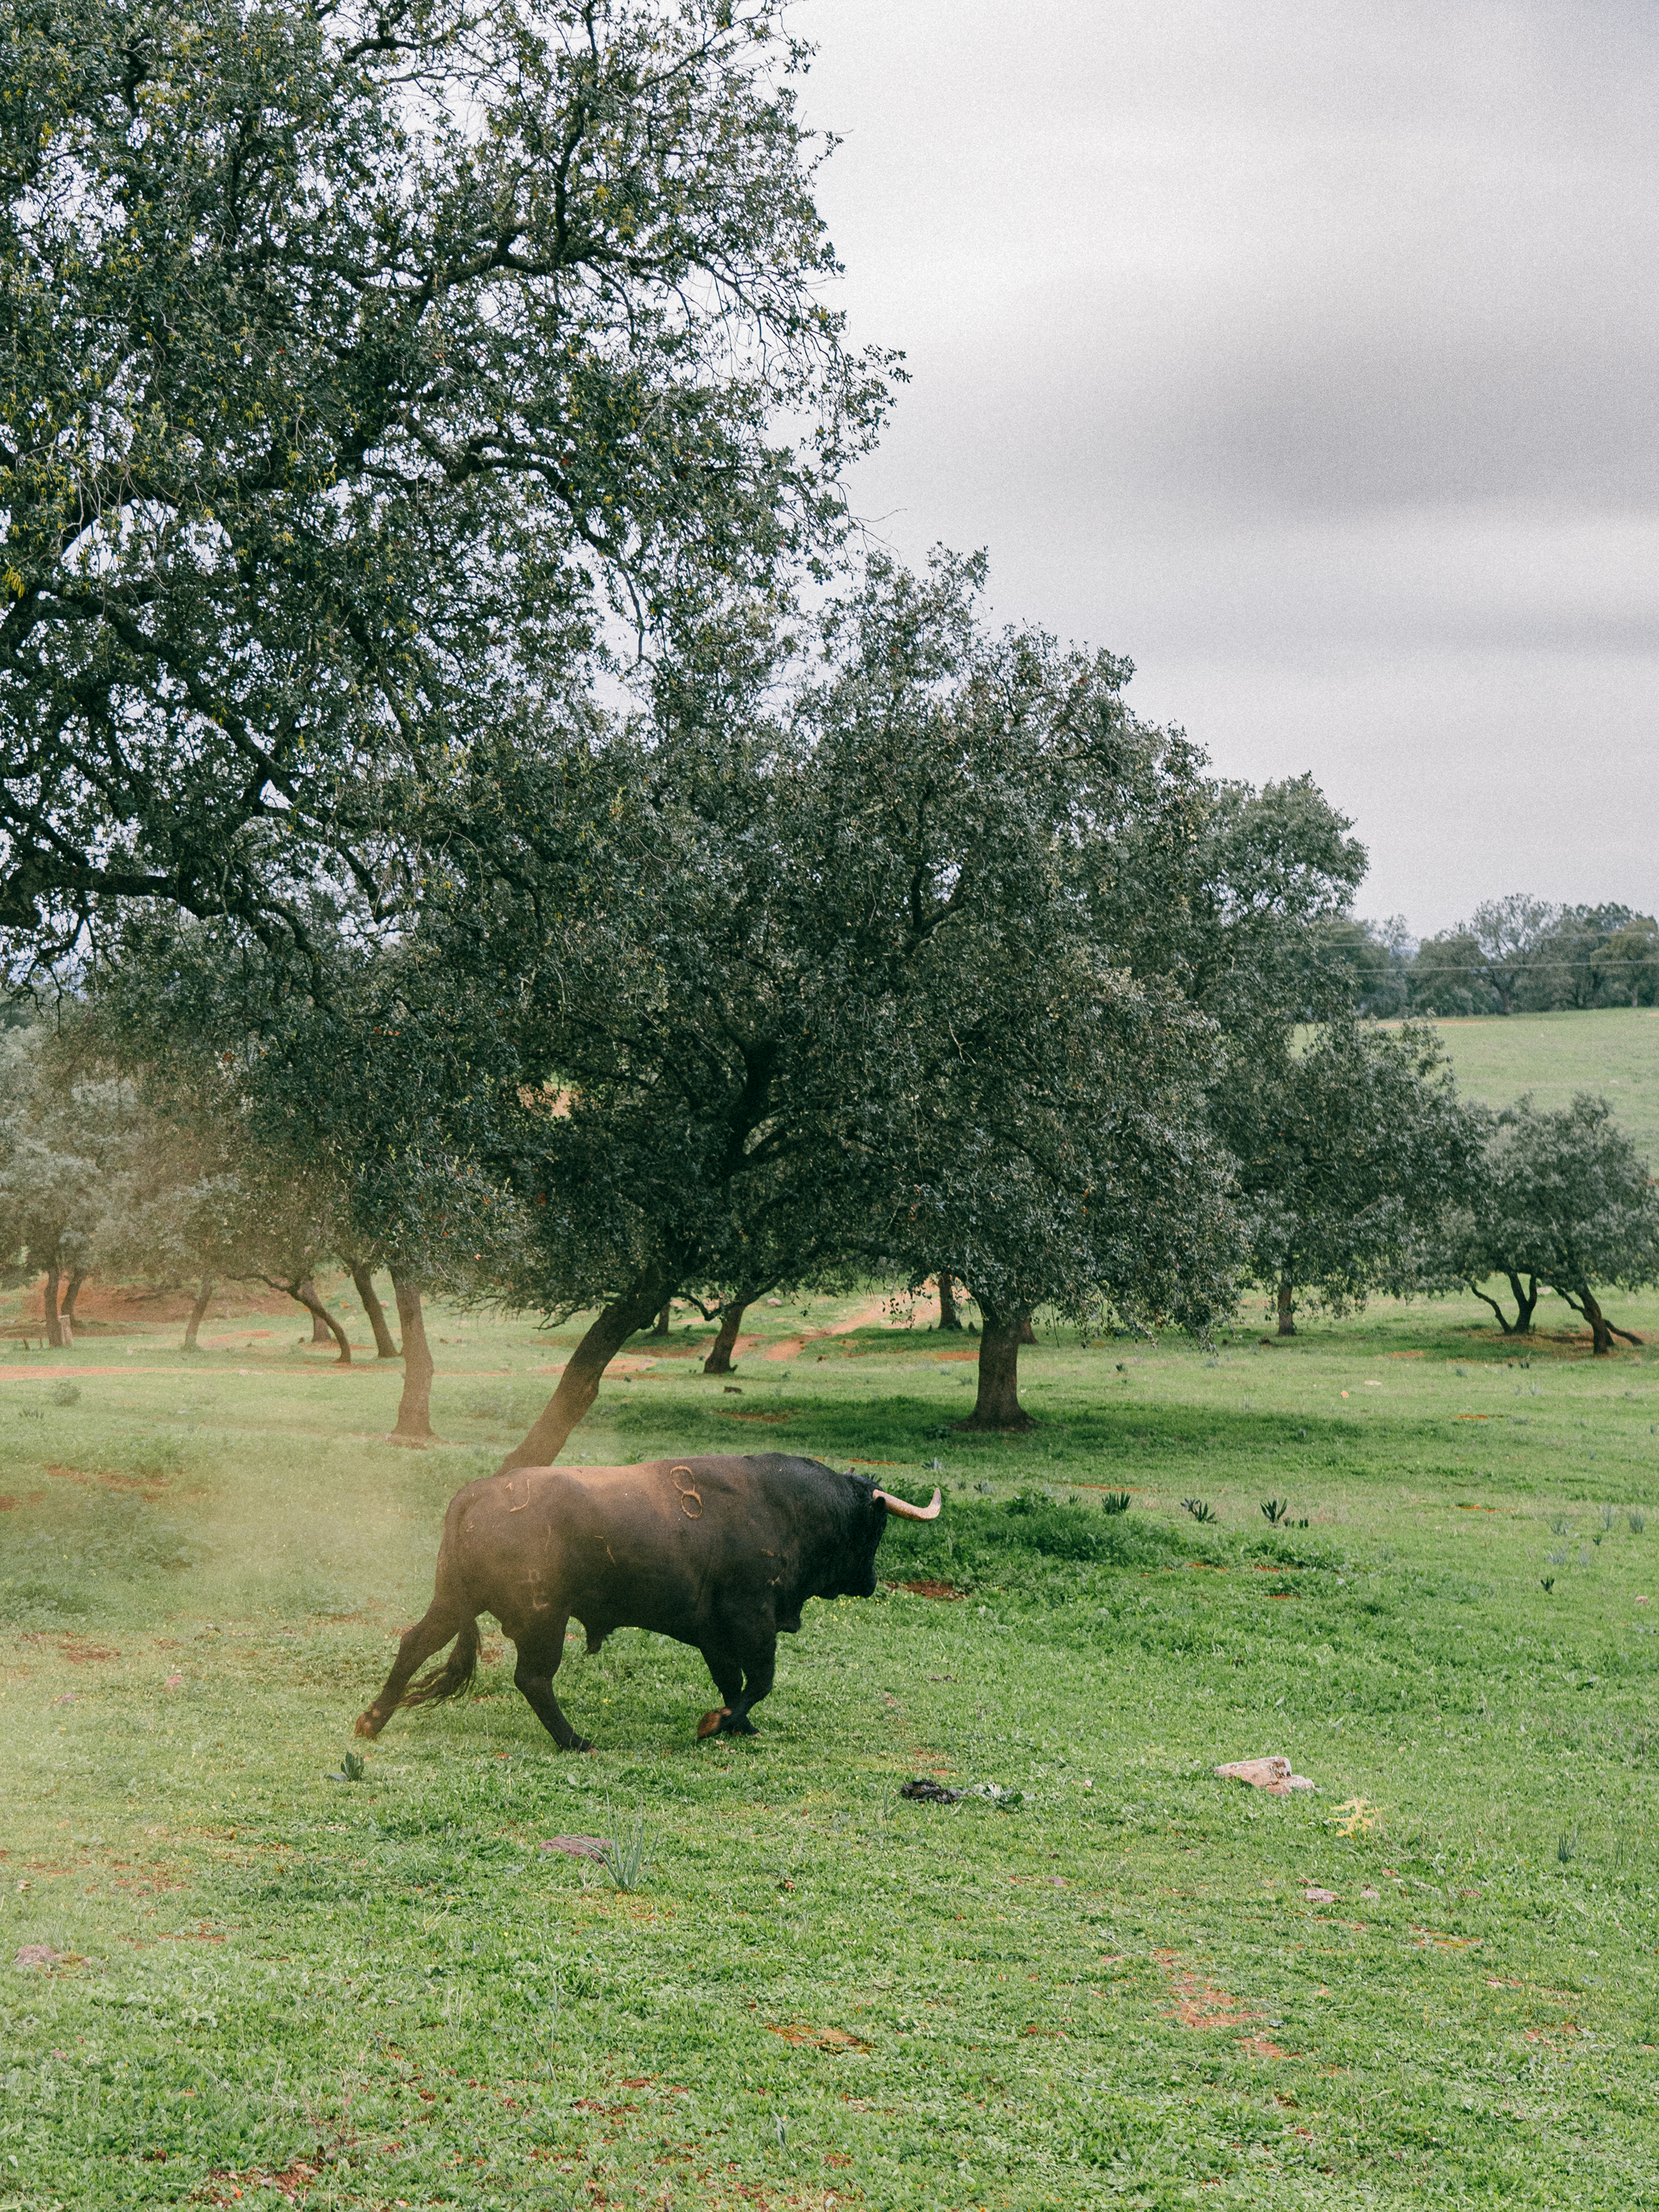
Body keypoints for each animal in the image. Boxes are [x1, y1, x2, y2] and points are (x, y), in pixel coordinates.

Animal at [354, 1452, 942, 1749]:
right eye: (876, 1528)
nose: (870, 1582)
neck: (785, 1506)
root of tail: (476, 1492)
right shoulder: (752, 1623)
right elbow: (759, 1683)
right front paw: (715, 1724)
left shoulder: (715, 1637)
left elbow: (735, 1684)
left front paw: (738, 1726)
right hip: (543, 1619)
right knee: (533, 1679)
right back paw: (577, 1741)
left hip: (457, 1601)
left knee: (414, 1645)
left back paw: (371, 1721)